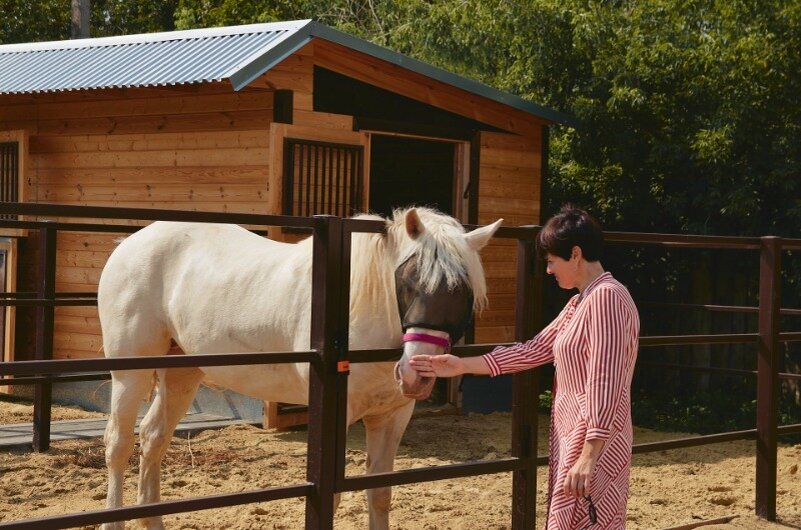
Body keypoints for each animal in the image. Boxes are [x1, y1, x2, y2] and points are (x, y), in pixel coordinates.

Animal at [98, 207, 500, 528]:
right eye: (409, 281)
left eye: (463, 291)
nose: (417, 374)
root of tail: (131, 243)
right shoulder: (338, 416)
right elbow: (333, 496)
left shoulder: (392, 416)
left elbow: (379, 493)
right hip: (130, 373)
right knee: (118, 444)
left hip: (181, 372)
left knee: (154, 437)